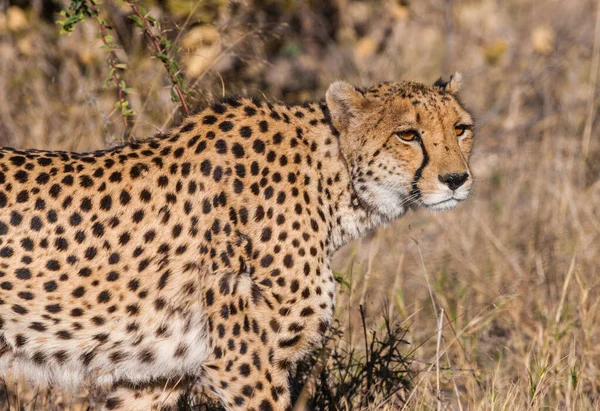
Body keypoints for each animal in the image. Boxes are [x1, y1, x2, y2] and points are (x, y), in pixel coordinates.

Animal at [0, 74, 474, 411]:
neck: (332, 181)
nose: (456, 179)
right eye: (407, 134)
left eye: (461, 129)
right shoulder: (244, 364)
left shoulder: (154, 376)